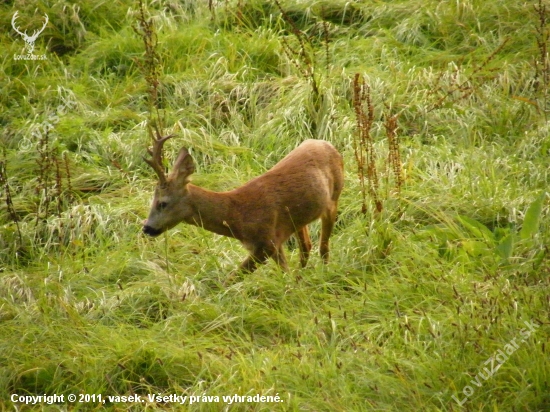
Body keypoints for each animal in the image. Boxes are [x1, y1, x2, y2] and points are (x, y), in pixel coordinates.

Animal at [146, 132, 344, 274]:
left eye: (162, 203)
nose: (146, 228)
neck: (236, 214)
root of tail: (327, 144)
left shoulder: (266, 242)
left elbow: (234, 276)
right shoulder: (272, 242)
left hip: (334, 198)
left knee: (323, 246)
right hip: (300, 218)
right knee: (306, 246)